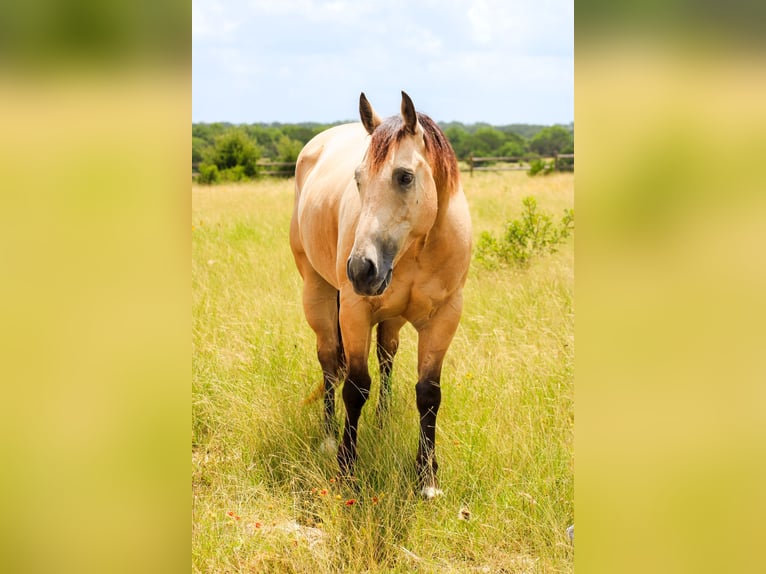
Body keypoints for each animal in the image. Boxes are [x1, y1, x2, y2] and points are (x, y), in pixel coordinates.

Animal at [289, 91, 471, 498]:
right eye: (358, 179)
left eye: (404, 177)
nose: (360, 269)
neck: (417, 250)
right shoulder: (354, 312)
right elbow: (355, 388)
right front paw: (346, 470)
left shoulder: (445, 318)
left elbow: (429, 394)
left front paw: (427, 478)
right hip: (318, 294)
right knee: (329, 363)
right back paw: (328, 437)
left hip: (391, 318)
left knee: (387, 356)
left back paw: (383, 421)